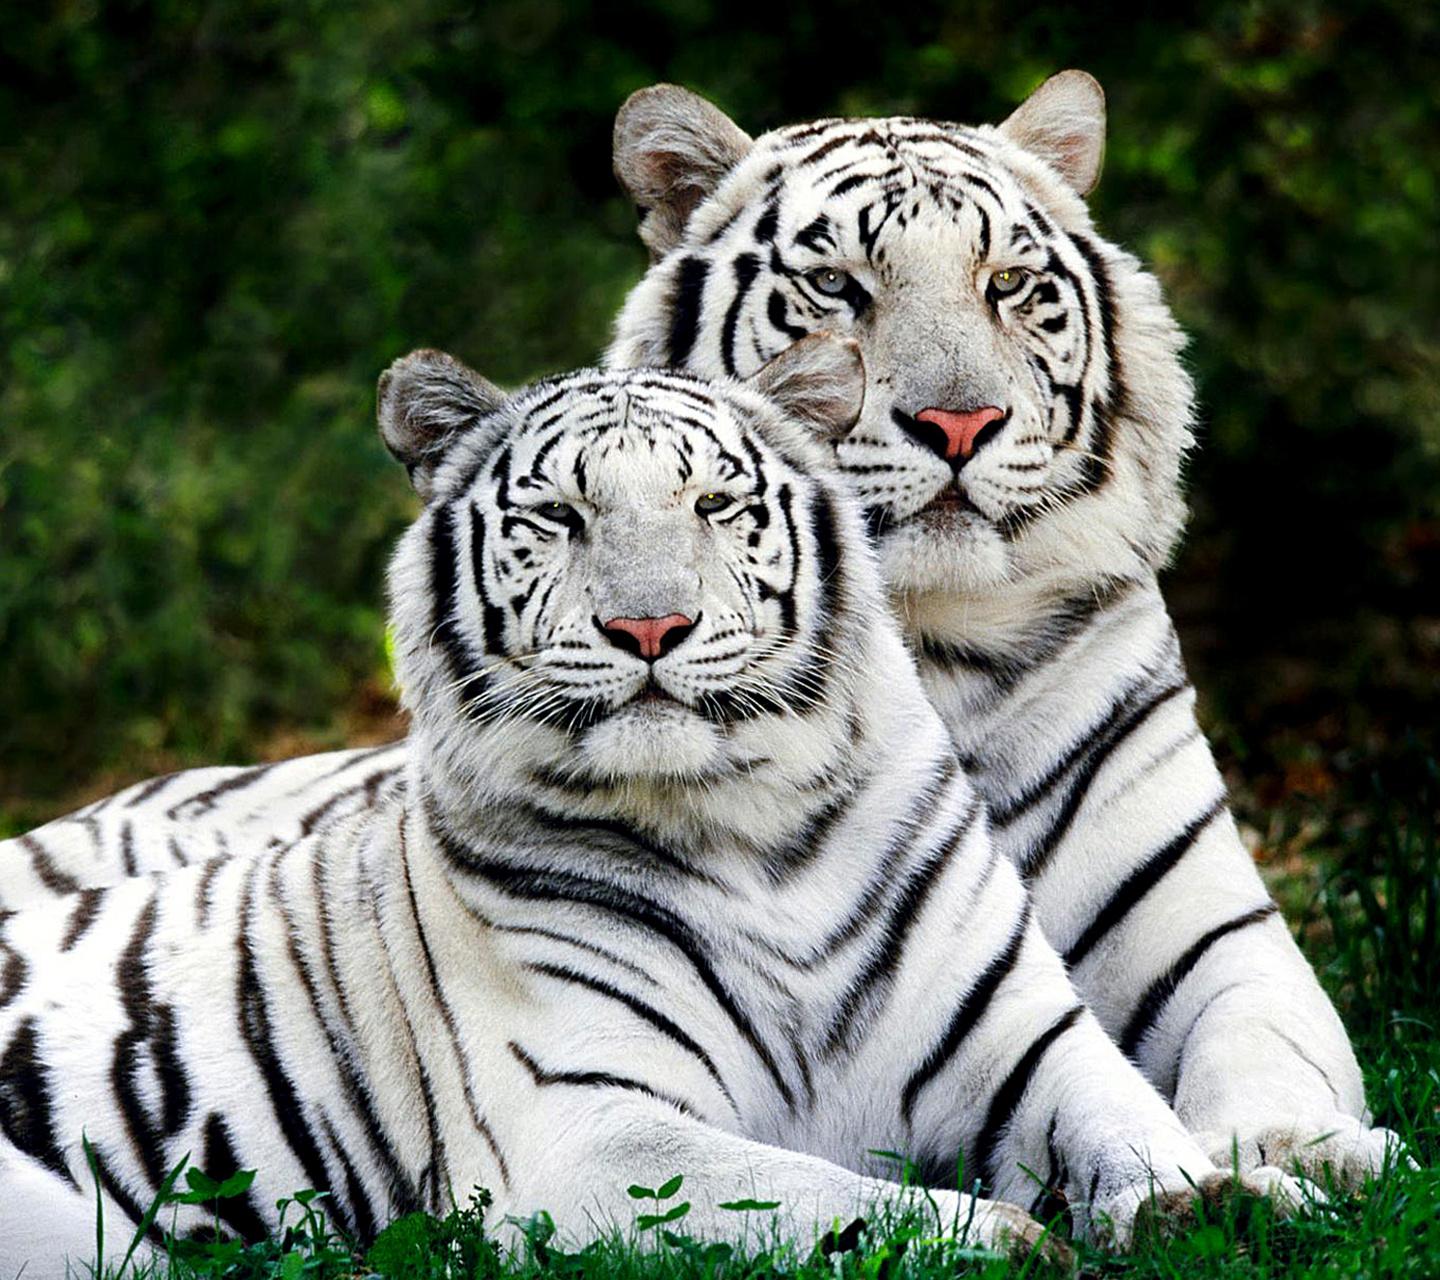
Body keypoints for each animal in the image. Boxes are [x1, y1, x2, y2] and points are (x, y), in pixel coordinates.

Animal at [0, 343, 1303, 1274]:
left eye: (717, 505)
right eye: (560, 519)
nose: (649, 627)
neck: (760, 832)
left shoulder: (1023, 1035)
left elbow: (1128, 1116)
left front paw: (1226, 1199)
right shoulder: (587, 1130)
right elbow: (831, 1199)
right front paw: (1006, 1241)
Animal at [600, 70, 1401, 1184]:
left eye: (1008, 284)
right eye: (838, 287)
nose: (960, 425)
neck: (937, 644)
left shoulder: (1218, 931)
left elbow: (1263, 1041)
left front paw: (1298, 1152)